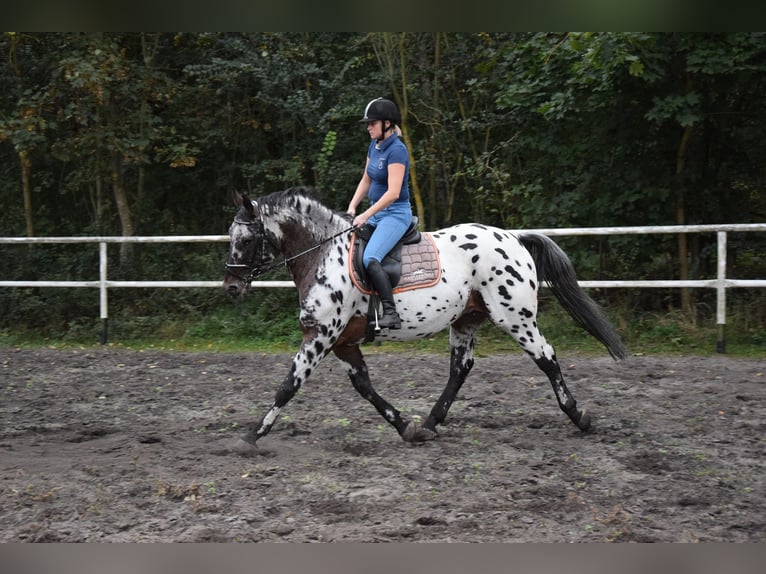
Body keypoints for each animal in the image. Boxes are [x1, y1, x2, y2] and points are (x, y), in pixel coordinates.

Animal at [224, 187, 632, 456]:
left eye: (244, 239)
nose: (230, 286)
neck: (324, 253)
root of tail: (513, 238)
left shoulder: (321, 335)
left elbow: (288, 386)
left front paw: (251, 437)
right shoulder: (343, 343)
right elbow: (365, 388)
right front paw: (408, 428)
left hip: (515, 318)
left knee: (546, 357)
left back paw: (579, 416)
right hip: (467, 319)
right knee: (460, 368)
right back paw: (431, 424)